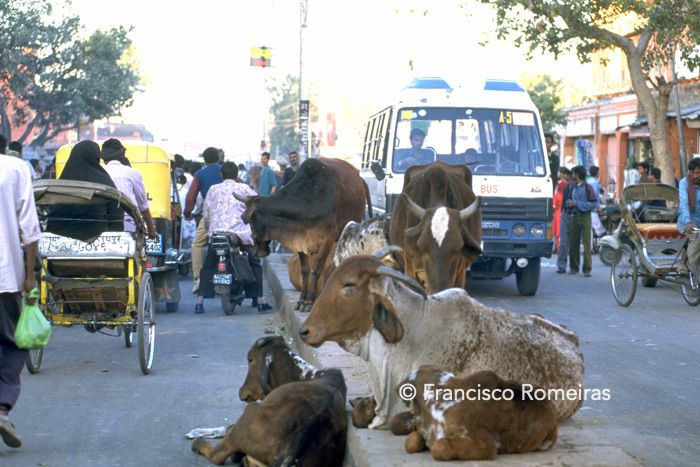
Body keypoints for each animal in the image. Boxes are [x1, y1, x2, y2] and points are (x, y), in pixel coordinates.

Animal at [235, 157, 371, 312]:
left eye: (251, 222)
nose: (256, 252)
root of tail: (359, 177)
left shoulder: (327, 240)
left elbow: (316, 269)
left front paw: (310, 301)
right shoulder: (299, 241)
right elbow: (305, 270)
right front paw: (302, 300)